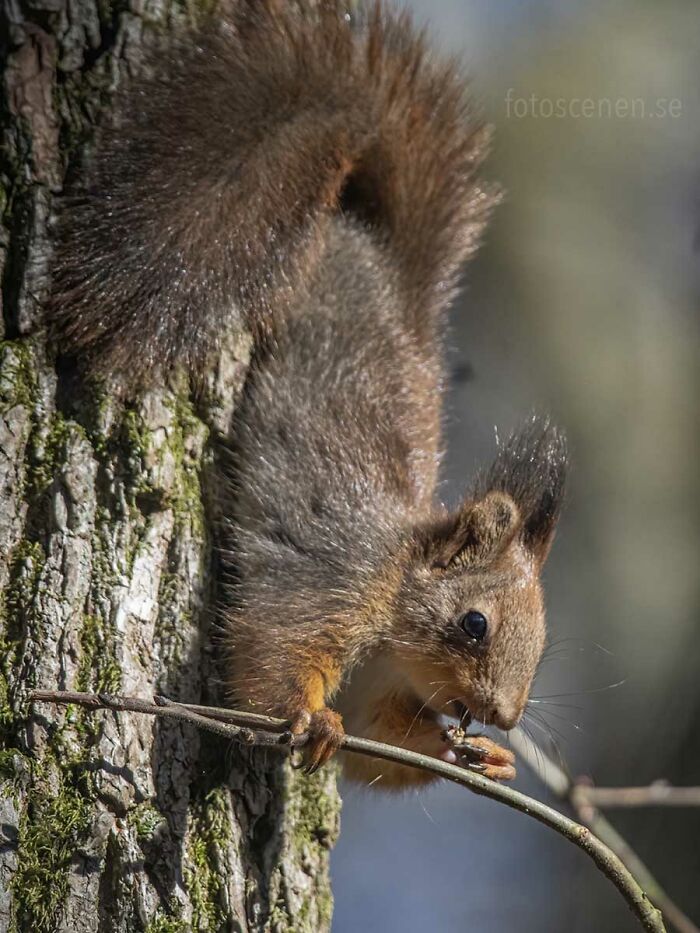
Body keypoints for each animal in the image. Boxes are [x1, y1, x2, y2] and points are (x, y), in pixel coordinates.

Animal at [49, 0, 567, 788]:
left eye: (540, 647)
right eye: (474, 624)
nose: (503, 715)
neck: (394, 626)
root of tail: (374, 251)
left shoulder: (381, 691)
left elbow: (377, 741)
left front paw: (475, 753)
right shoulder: (337, 576)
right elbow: (276, 646)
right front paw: (309, 717)